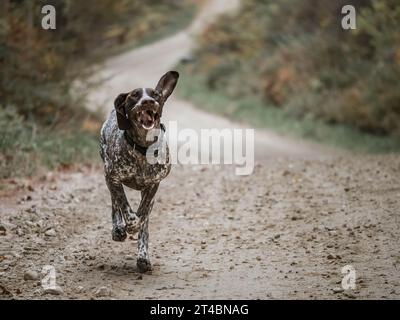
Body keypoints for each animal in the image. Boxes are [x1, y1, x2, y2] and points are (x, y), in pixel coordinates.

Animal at [99, 70, 179, 272]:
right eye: (134, 95)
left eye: (155, 94)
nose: (147, 101)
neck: (143, 149)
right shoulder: (113, 177)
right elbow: (124, 206)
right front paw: (128, 224)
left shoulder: (153, 185)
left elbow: (143, 213)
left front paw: (142, 251)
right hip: (108, 175)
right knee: (115, 204)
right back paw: (118, 229)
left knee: (145, 219)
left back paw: (143, 257)